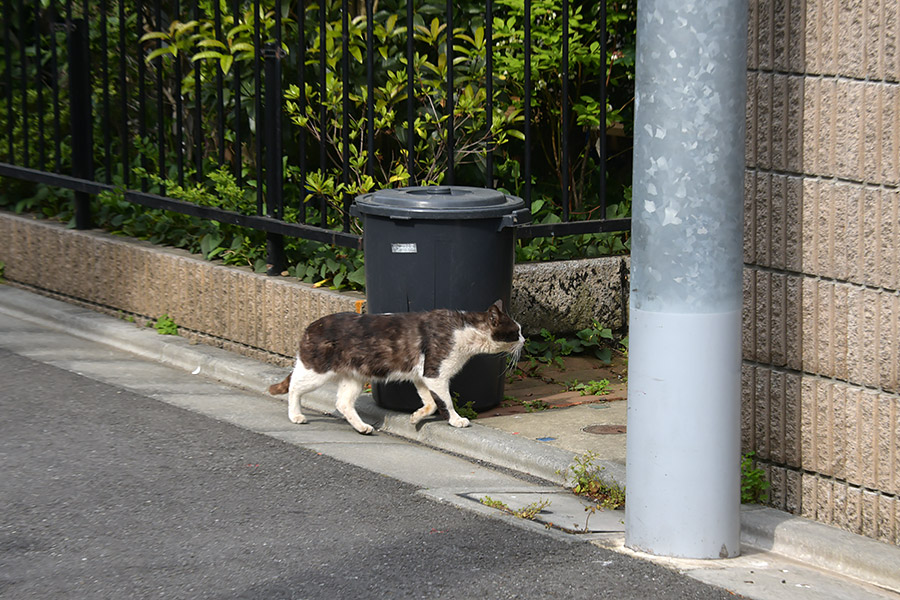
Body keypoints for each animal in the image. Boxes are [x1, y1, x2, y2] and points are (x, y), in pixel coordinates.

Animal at [268, 302, 524, 434]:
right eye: (516, 331)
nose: (524, 340)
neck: (465, 330)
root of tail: (310, 326)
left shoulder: (422, 377)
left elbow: (431, 403)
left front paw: (415, 417)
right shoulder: (436, 373)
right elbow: (446, 401)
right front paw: (456, 420)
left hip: (354, 377)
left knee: (342, 403)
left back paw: (362, 427)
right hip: (316, 370)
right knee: (294, 387)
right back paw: (295, 415)